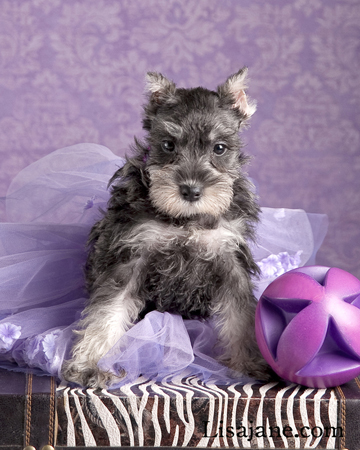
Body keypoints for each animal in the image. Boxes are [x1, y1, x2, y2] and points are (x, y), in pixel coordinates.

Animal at [62, 67, 270, 386]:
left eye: (219, 148)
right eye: (168, 145)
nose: (191, 191)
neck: (186, 220)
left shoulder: (229, 259)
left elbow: (241, 316)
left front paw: (250, 362)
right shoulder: (130, 256)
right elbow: (108, 311)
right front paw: (92, 364)